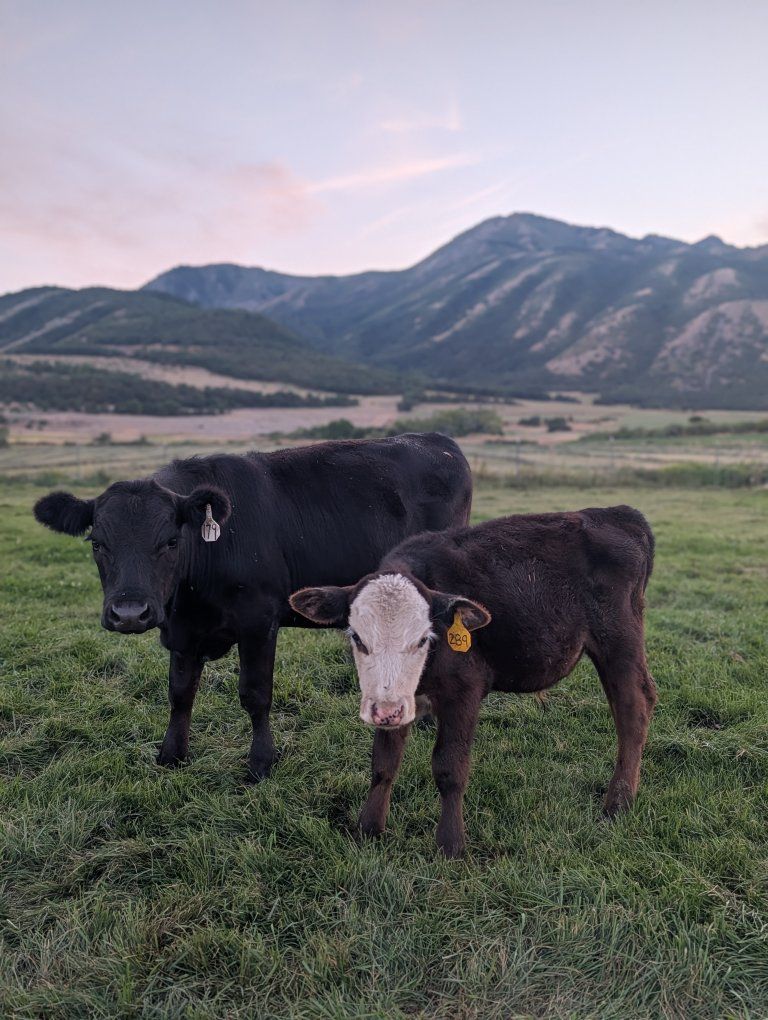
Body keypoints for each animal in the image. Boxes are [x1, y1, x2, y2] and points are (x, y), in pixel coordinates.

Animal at [33, 433, 472, 780]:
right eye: (97, 543)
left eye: (171, 541)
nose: (129, 613)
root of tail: (437, 441)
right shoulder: (182, 631)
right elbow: (180, 693)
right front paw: (172, 754)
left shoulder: (259, 623)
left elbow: (255, 694)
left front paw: (261, 762)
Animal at [290, 505, 656, 857]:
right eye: (356, 636)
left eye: (423, 638)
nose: (385, 710)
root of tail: (618, 513)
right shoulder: (396, 701)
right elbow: (383, 763)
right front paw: (369, 829)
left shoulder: (464, 692)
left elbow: (450, 768)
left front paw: (451, 845)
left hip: (618, 641)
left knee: (633, 709)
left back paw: (618, 803)